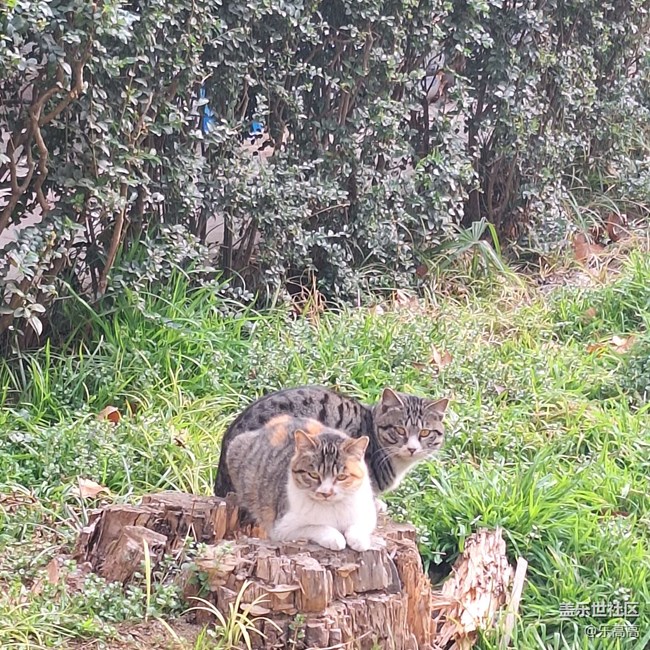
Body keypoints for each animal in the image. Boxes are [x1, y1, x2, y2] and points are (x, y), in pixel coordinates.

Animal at [226, 415, 376, 551]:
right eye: (313, 475)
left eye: (341, 477)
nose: (326, 493)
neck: (331, 507)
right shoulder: (282, 528)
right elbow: (315, 526)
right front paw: (335, 537)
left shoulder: (368, 513)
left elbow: (358, 525)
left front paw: (359, 540)